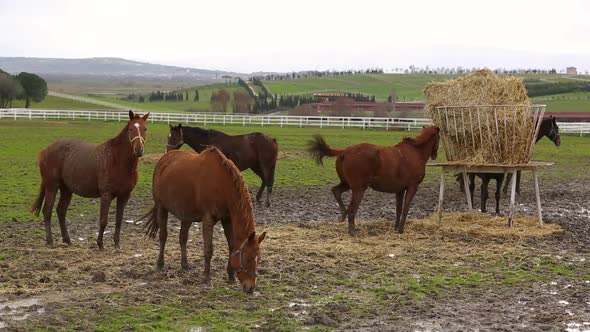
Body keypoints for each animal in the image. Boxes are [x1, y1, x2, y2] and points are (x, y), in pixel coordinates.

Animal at [31, 111, 150, 249]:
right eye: (131, 129)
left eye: (145, 129)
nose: (139, 150)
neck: (117, 160)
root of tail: (45, 151)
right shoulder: (106, 195)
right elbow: (103, 221)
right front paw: (100, 244)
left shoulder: (124, 196)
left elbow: (119, 220)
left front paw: (116, 244)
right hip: (51, 186)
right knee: (47, 211)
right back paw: (50, 241)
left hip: (66, 189)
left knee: (61, 211)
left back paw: (67, 240)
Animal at [142, 148, 268, 294]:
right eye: (248, 259)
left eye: (259, 258)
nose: (251, 288)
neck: (222, 183)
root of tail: (164, 158)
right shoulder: (208, 219)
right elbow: (208, 249)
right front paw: (207, 278)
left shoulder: (227, 219)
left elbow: (231, 247)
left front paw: (230, 276)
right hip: (162, 208)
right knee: (163, 236)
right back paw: (160, 264)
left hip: (186, 215)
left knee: (183, 238)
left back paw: (184, 265)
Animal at [310, 126, 440, 235]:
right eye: (439, 138)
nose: (435, 155)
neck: (414, 152)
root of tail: (344, 151)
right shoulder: (412, 187)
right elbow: (406, 208)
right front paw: (401, 230)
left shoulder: (400, 190)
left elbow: (398, 208)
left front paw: (396, 228)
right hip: (358, 189)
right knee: (351, 209)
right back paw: (353, 231)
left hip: (347, 184)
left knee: (336, 191)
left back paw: (343, 215)